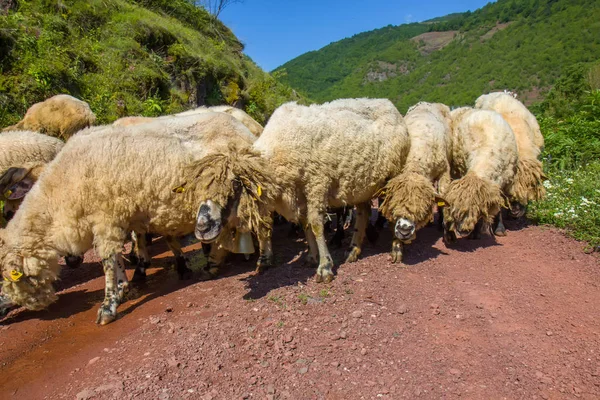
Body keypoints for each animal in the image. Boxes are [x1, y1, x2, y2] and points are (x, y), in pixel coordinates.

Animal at [0, 111, 255, 324]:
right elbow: (117, 259)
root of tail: (239, 125)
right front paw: (123, 287)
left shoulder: (105, 220)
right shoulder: (116, 221)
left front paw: (108, 306)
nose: (1, 313)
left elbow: (108, 262)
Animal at [192, 98, 412, 282]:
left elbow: (316, 225)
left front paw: (325, 267)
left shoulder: (316, 184)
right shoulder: (298, 194)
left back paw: (396, 249)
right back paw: (354, 249)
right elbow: (306, 225)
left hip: (393, 174)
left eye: (235, 185)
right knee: (363, 212)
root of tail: (389, 104)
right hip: (362, 183)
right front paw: (312, 257)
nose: (202, 228)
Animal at [380, 101, 450, 260]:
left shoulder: (444, 171)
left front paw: (448, 232)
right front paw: (397, 246)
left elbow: (444, 198)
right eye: (394, 204)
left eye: (422, 207)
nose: (404, 231)